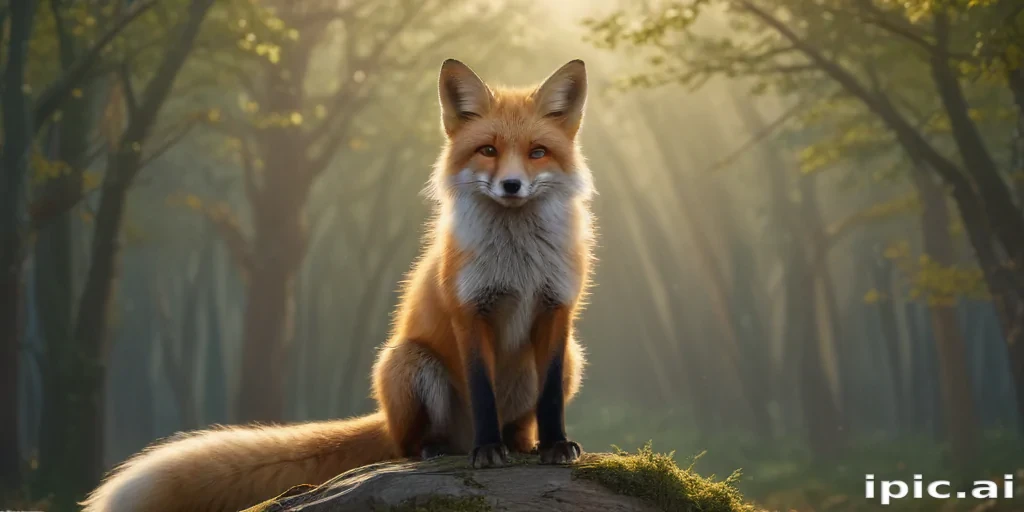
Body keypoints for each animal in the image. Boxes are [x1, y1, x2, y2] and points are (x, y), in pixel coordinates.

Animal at [81, 58, 595, 512]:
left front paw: (554, 445)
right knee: (407, 446)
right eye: (488, 150)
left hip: (573, 356)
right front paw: (487, 453)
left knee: (520, 423)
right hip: (407, 361)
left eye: (537, 152)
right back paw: (444, 449)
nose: (511, 186)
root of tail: (388, 419)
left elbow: (550, 397)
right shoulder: (469, 310)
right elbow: (483, 391)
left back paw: (521, 443)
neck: (517, 262)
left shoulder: (556, 309)